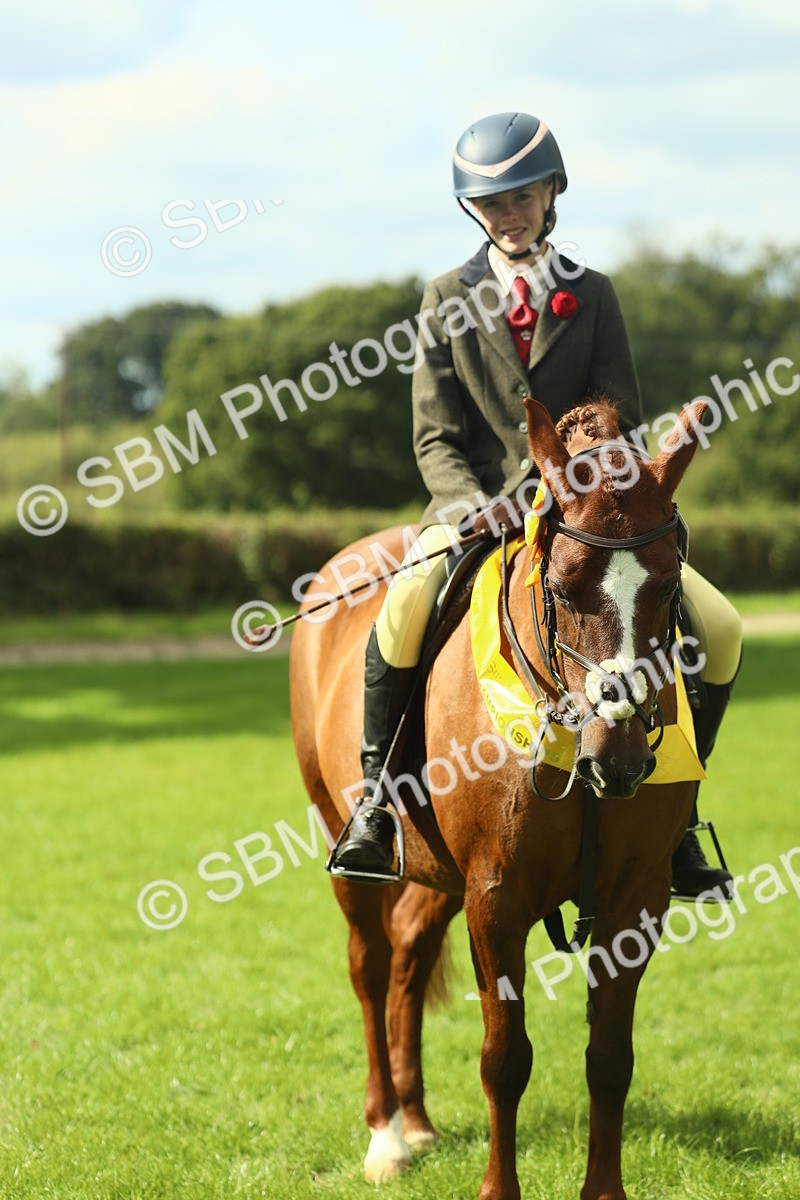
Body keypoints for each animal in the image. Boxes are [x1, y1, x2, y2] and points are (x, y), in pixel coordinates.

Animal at [290, 396, 708, 1200]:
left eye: (669, 586)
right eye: (565, 585)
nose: (620, 758)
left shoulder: (636, 897)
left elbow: (610, 1059)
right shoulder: (496, 895)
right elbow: (504, 1057)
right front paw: (495, 1188)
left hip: (441, 874)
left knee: (411, 955)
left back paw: (418, 1120)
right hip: (346, 837)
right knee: (371, 966)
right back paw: (387, 1135)